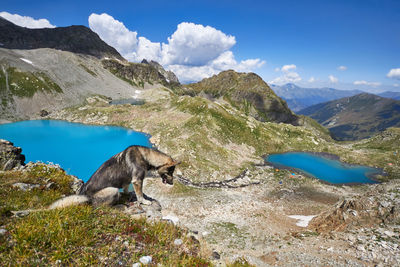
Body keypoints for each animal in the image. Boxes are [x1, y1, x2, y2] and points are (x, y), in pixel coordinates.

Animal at [49, 146, 179, 210]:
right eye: (170, 172)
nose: (172, 183)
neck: (146, 156)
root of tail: (84, 196)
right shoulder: (137, 180)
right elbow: (140, 194)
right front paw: (144, 201)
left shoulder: (129, 180)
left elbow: (127, 188)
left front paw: (127, 193)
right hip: (112, 190)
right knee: (99, 206)